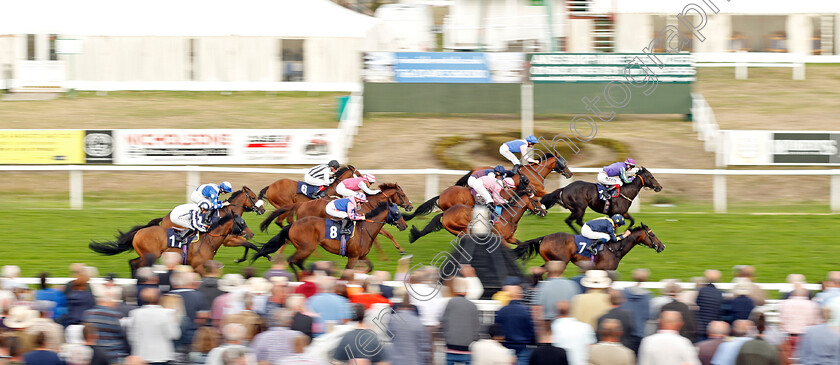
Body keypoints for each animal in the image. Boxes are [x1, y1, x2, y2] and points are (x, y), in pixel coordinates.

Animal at [88, 212, 254, 274]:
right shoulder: (198, 266)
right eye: (242, 223)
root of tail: (139, 232)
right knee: (136, 264)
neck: (209, 239)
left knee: (133, 263)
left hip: (146, 254)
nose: (251, 233)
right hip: (151, 254)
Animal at [249, 200, 406, 278]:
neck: (365, 228)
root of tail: (294, 223)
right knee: (292, 260)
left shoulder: (361, 256)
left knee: (299, 262)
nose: (404, 225)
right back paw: (300, 277)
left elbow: (369, 267)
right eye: (397, 213)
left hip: (305, 249)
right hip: (307, 248)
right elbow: (345, 275)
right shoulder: (353, 257)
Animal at [258, 181, 412, 253]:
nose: (410, 206)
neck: (370, 204)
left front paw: (399, 249)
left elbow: (387, 235)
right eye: (403, 194)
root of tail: (302, 204)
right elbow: (387, 234)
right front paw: (399, 250)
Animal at [410, 189, 548, 246]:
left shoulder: (510, 238)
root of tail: (445, 213)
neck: (508, 216)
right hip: (463, 230)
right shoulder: (501, 239)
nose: (544, 211)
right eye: (536, 200)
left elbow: (521, 243)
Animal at [508, 222, 668, 270]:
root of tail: (544, 237)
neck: (615, 248)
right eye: (653, 235)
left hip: (551, 261)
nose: (662, 246)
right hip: (559, 262)